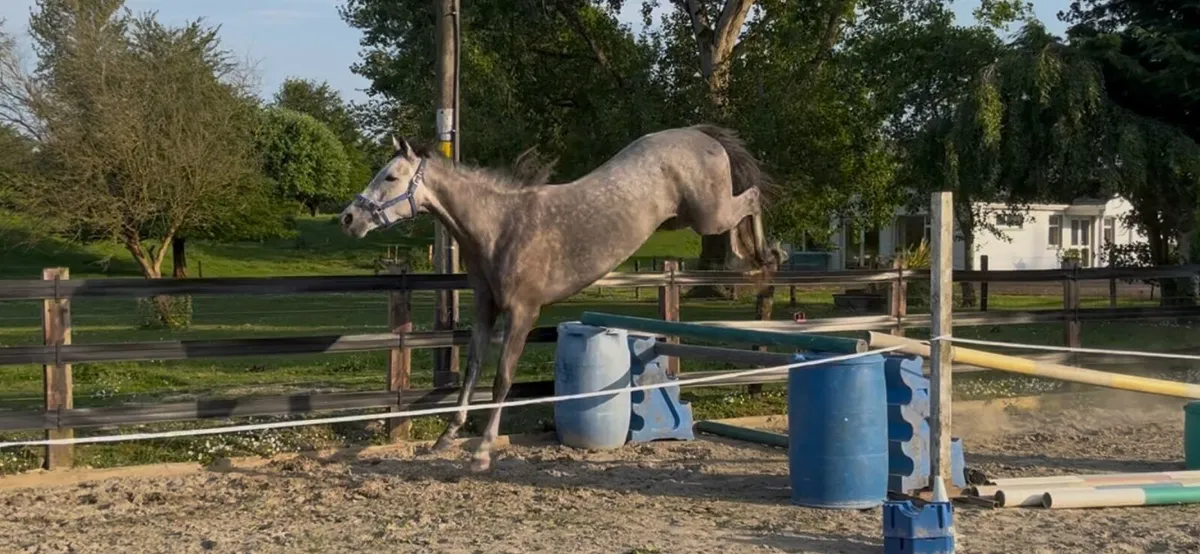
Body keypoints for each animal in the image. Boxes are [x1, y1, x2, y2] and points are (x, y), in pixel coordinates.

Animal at [339, 124, 781, 471]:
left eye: (390, 177)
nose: (349, 218)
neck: (498, 227)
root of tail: (700, 134)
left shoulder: (522, 313)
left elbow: (501, 379)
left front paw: (482, 452)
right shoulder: (485, 308)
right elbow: (472, 370)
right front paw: (447, 437)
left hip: (709, 214)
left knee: (752, 199)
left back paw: (763, 258)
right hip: (687, 217)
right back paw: (754, 260)